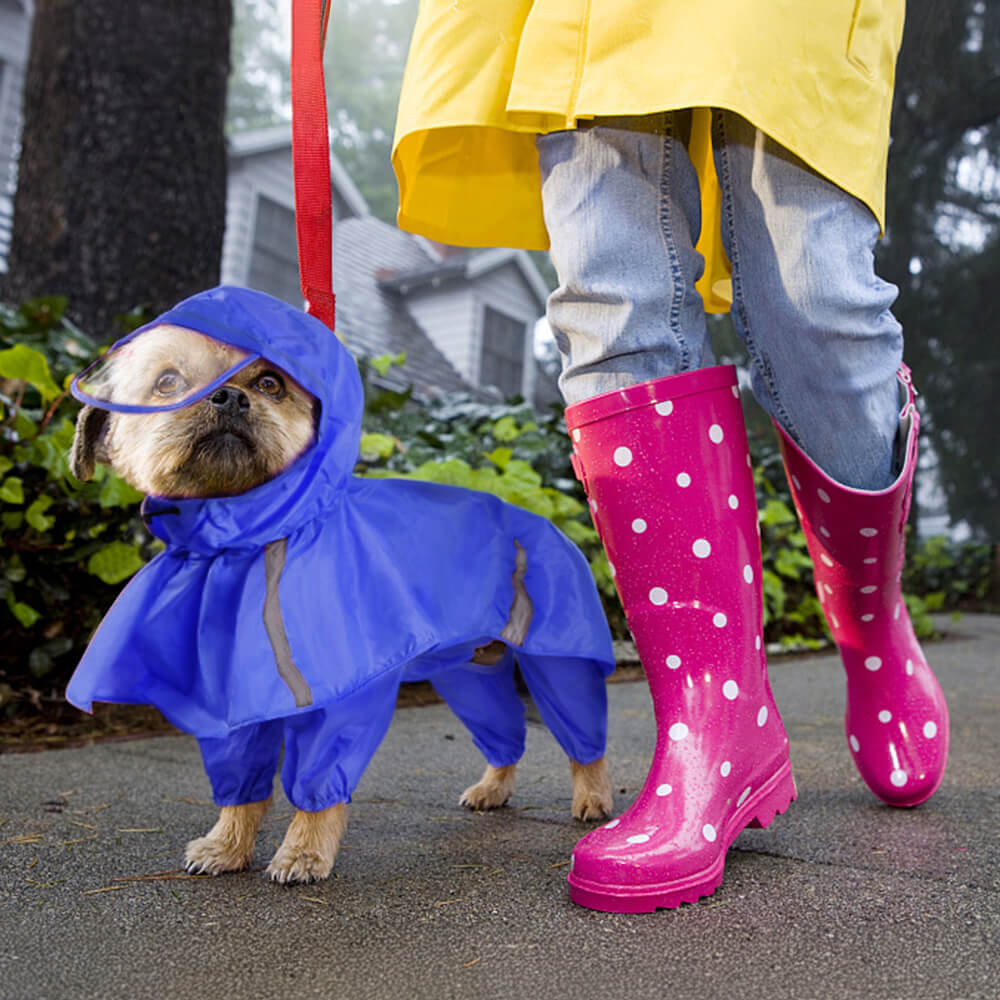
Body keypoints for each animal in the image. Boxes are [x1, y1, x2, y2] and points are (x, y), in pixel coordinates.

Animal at [66, 284, 612, 884]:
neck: (245, 539)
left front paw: (304, 853)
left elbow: (318, 784)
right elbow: (240, 787)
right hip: (469, 673)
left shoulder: (342, 702)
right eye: (167, 382)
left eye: (270, 383)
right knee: (506, 734)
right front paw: (227, 846)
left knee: (582, 738)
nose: (229, 397)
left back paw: (594, 798)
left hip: (559, 661)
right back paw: (493, 788)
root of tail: (544, 520)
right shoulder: (231, 709)